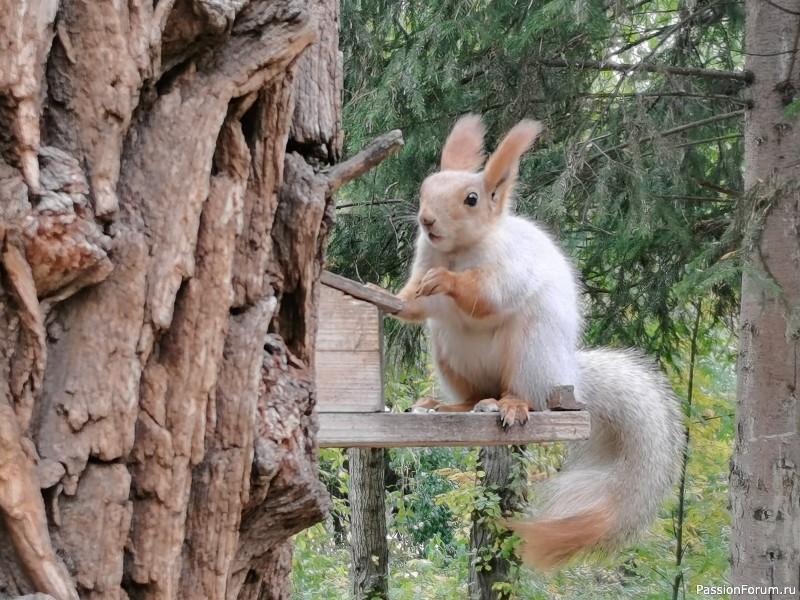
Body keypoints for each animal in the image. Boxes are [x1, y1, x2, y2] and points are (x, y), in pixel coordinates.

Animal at [390, 115, 684, 568]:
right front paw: (391, 297)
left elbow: (487, 294)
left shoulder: (511, 267)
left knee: (522, 393)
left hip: (530, 352)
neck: (457, 252)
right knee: (473, 394)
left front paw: (448, 282)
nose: (426, 221)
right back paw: (449, 405)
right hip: (449, 354)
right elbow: (418, 303)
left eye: (471, 199)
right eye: (425, 188)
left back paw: (510, 405)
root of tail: (567, 377)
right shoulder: (425, 259)